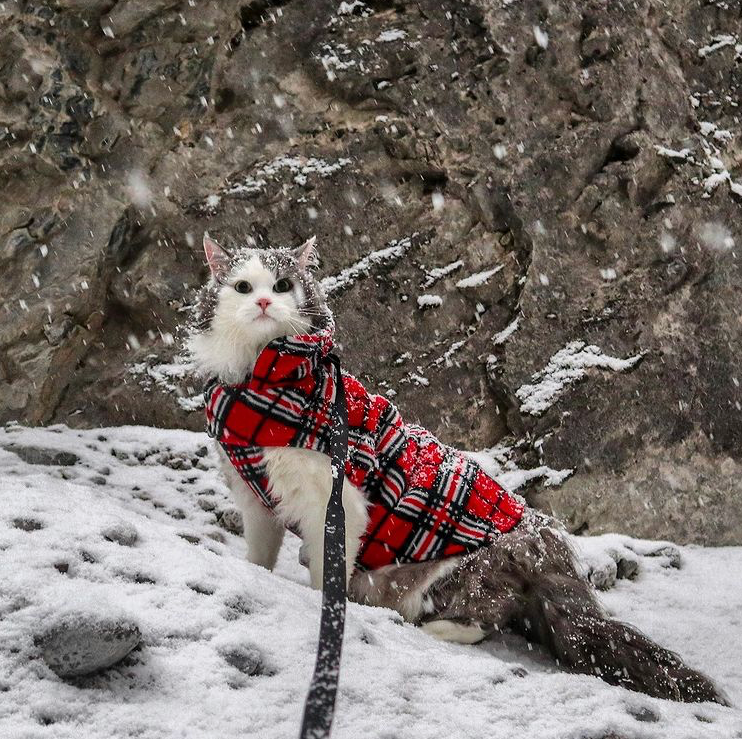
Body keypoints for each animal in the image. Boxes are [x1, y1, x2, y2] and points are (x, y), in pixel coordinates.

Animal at [187, 236, 728, 704]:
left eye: (282, 285)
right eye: (243, 287)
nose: (263, 303)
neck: (261, 387)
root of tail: (546, 548)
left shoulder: (337, 502)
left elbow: (327, 575)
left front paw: (328, 612)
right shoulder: (256, 496)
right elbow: (259, 556)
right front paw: (256, 573)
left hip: (457, 572)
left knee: (484, 620)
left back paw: (434, 627)